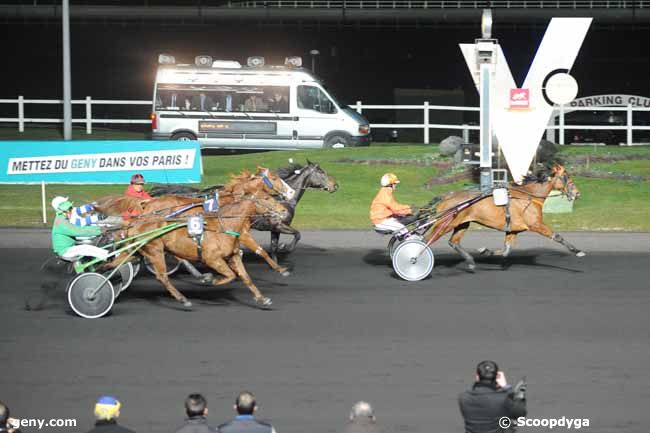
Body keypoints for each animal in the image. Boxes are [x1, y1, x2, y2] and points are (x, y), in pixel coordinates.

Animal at [422, 163, 584, 270]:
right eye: (566, 177)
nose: (577, 193)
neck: (529, 196)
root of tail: (446, 197)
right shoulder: (536, 224)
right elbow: (557, 236)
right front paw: (578, 251)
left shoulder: (513, 229)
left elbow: (506, 250)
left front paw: (486, 251)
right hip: (445, 223)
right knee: (425, 240)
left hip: (462, 223)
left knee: (454, 242)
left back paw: (471, 262)